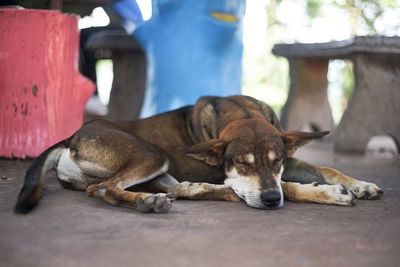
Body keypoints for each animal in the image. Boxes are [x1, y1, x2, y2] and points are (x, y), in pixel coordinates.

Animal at [14, 95, 384, 215]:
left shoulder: (290, 159)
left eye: (276, 160)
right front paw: (331, 194)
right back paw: (147, 203)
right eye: (242, 163)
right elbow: (289, 188)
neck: (240, 112)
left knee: (180, 189)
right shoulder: (236, 176)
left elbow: (327, 168)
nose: (269, 201)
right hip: (152, 155)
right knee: (102, 189)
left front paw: (360, 184)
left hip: (159, 168)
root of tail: (70, 137)